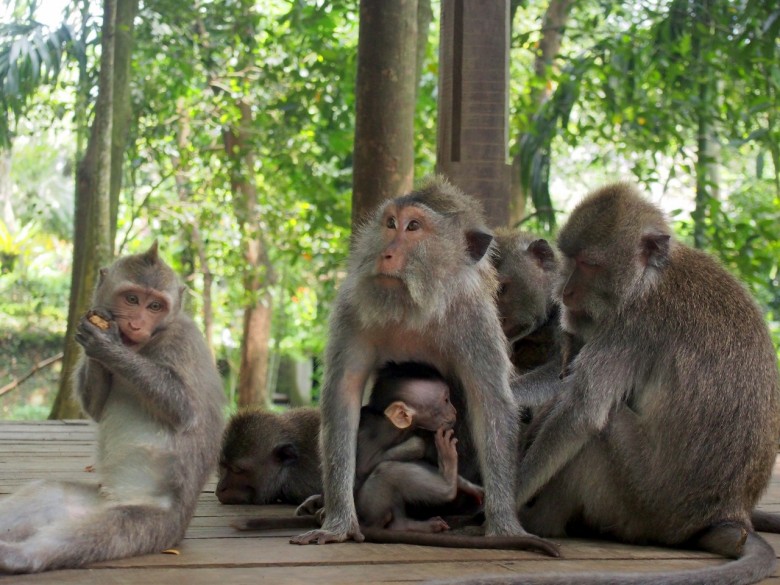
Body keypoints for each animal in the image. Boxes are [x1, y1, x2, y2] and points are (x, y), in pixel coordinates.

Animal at [0, 242, 225, 574]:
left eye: (155, 306)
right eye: (132, 299)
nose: (135, 324)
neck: (144, 344)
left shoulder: (183, 342)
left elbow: (185, 409)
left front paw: (105, 345)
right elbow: (95, 407)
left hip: (153, 525)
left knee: (105, 529)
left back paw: (19, 556)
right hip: (90, 501)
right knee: (46, 493)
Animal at [289, 176, 543, 549]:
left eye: (413, 227)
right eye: (390, 223)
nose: (385, 253)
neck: (415, 305)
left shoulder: (475, 320)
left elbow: (491, 405)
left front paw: (504, 524)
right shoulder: (353, 307)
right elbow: (343, 396)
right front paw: (338, 521)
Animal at [442, 183, 780, 584]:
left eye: (589, 264)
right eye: (571, 260)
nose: (567, 293)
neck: (648, 277)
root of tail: (730, 513)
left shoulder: (629, 322)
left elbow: (581, 413)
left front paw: (499, 510)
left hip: (645, 501)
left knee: (599, 429)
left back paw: (540, 521)